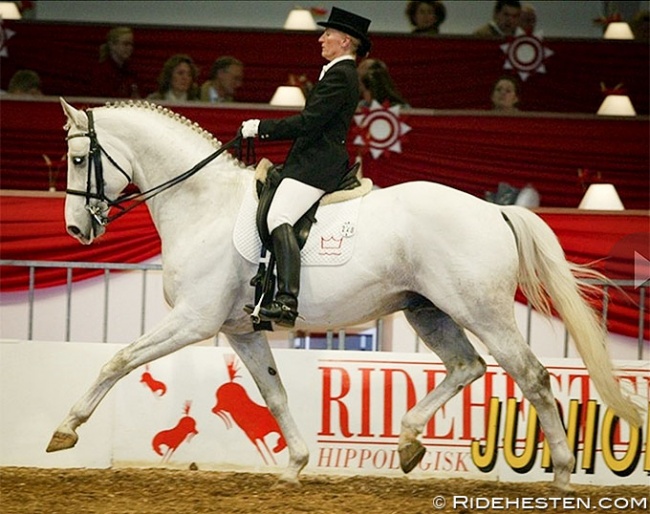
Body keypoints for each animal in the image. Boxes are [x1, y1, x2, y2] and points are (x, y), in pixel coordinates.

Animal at [50, 99, 636, 488]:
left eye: (79, 160)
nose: (78, 230)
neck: (203, 205)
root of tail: (494, 210)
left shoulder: (194, 321)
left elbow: (118, 360)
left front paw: (65, 430)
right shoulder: (241, 331)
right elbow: (274, 394)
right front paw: (294, 466)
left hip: (482, 310)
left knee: (531, 376)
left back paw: (561, 477)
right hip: (429, 312)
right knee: (467, 367)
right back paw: (408, 443)